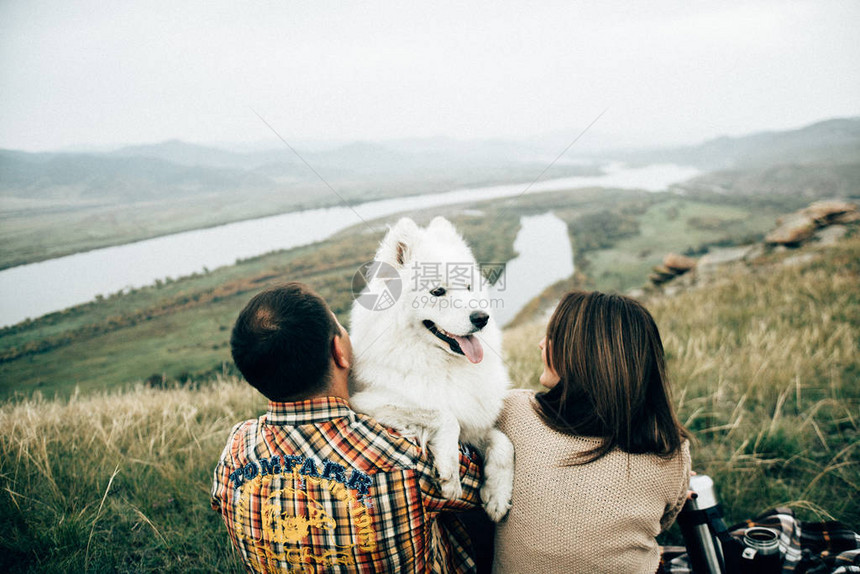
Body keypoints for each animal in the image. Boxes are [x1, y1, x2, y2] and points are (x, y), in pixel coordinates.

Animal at [348, 216, 512, 520]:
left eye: (468, 288)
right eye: (437, 292)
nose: (482, 318)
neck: (441, 364)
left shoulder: (475, 424)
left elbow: (503, 442)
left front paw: (497, 496)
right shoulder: (366, 402)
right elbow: (444, 414)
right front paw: (449, 473)